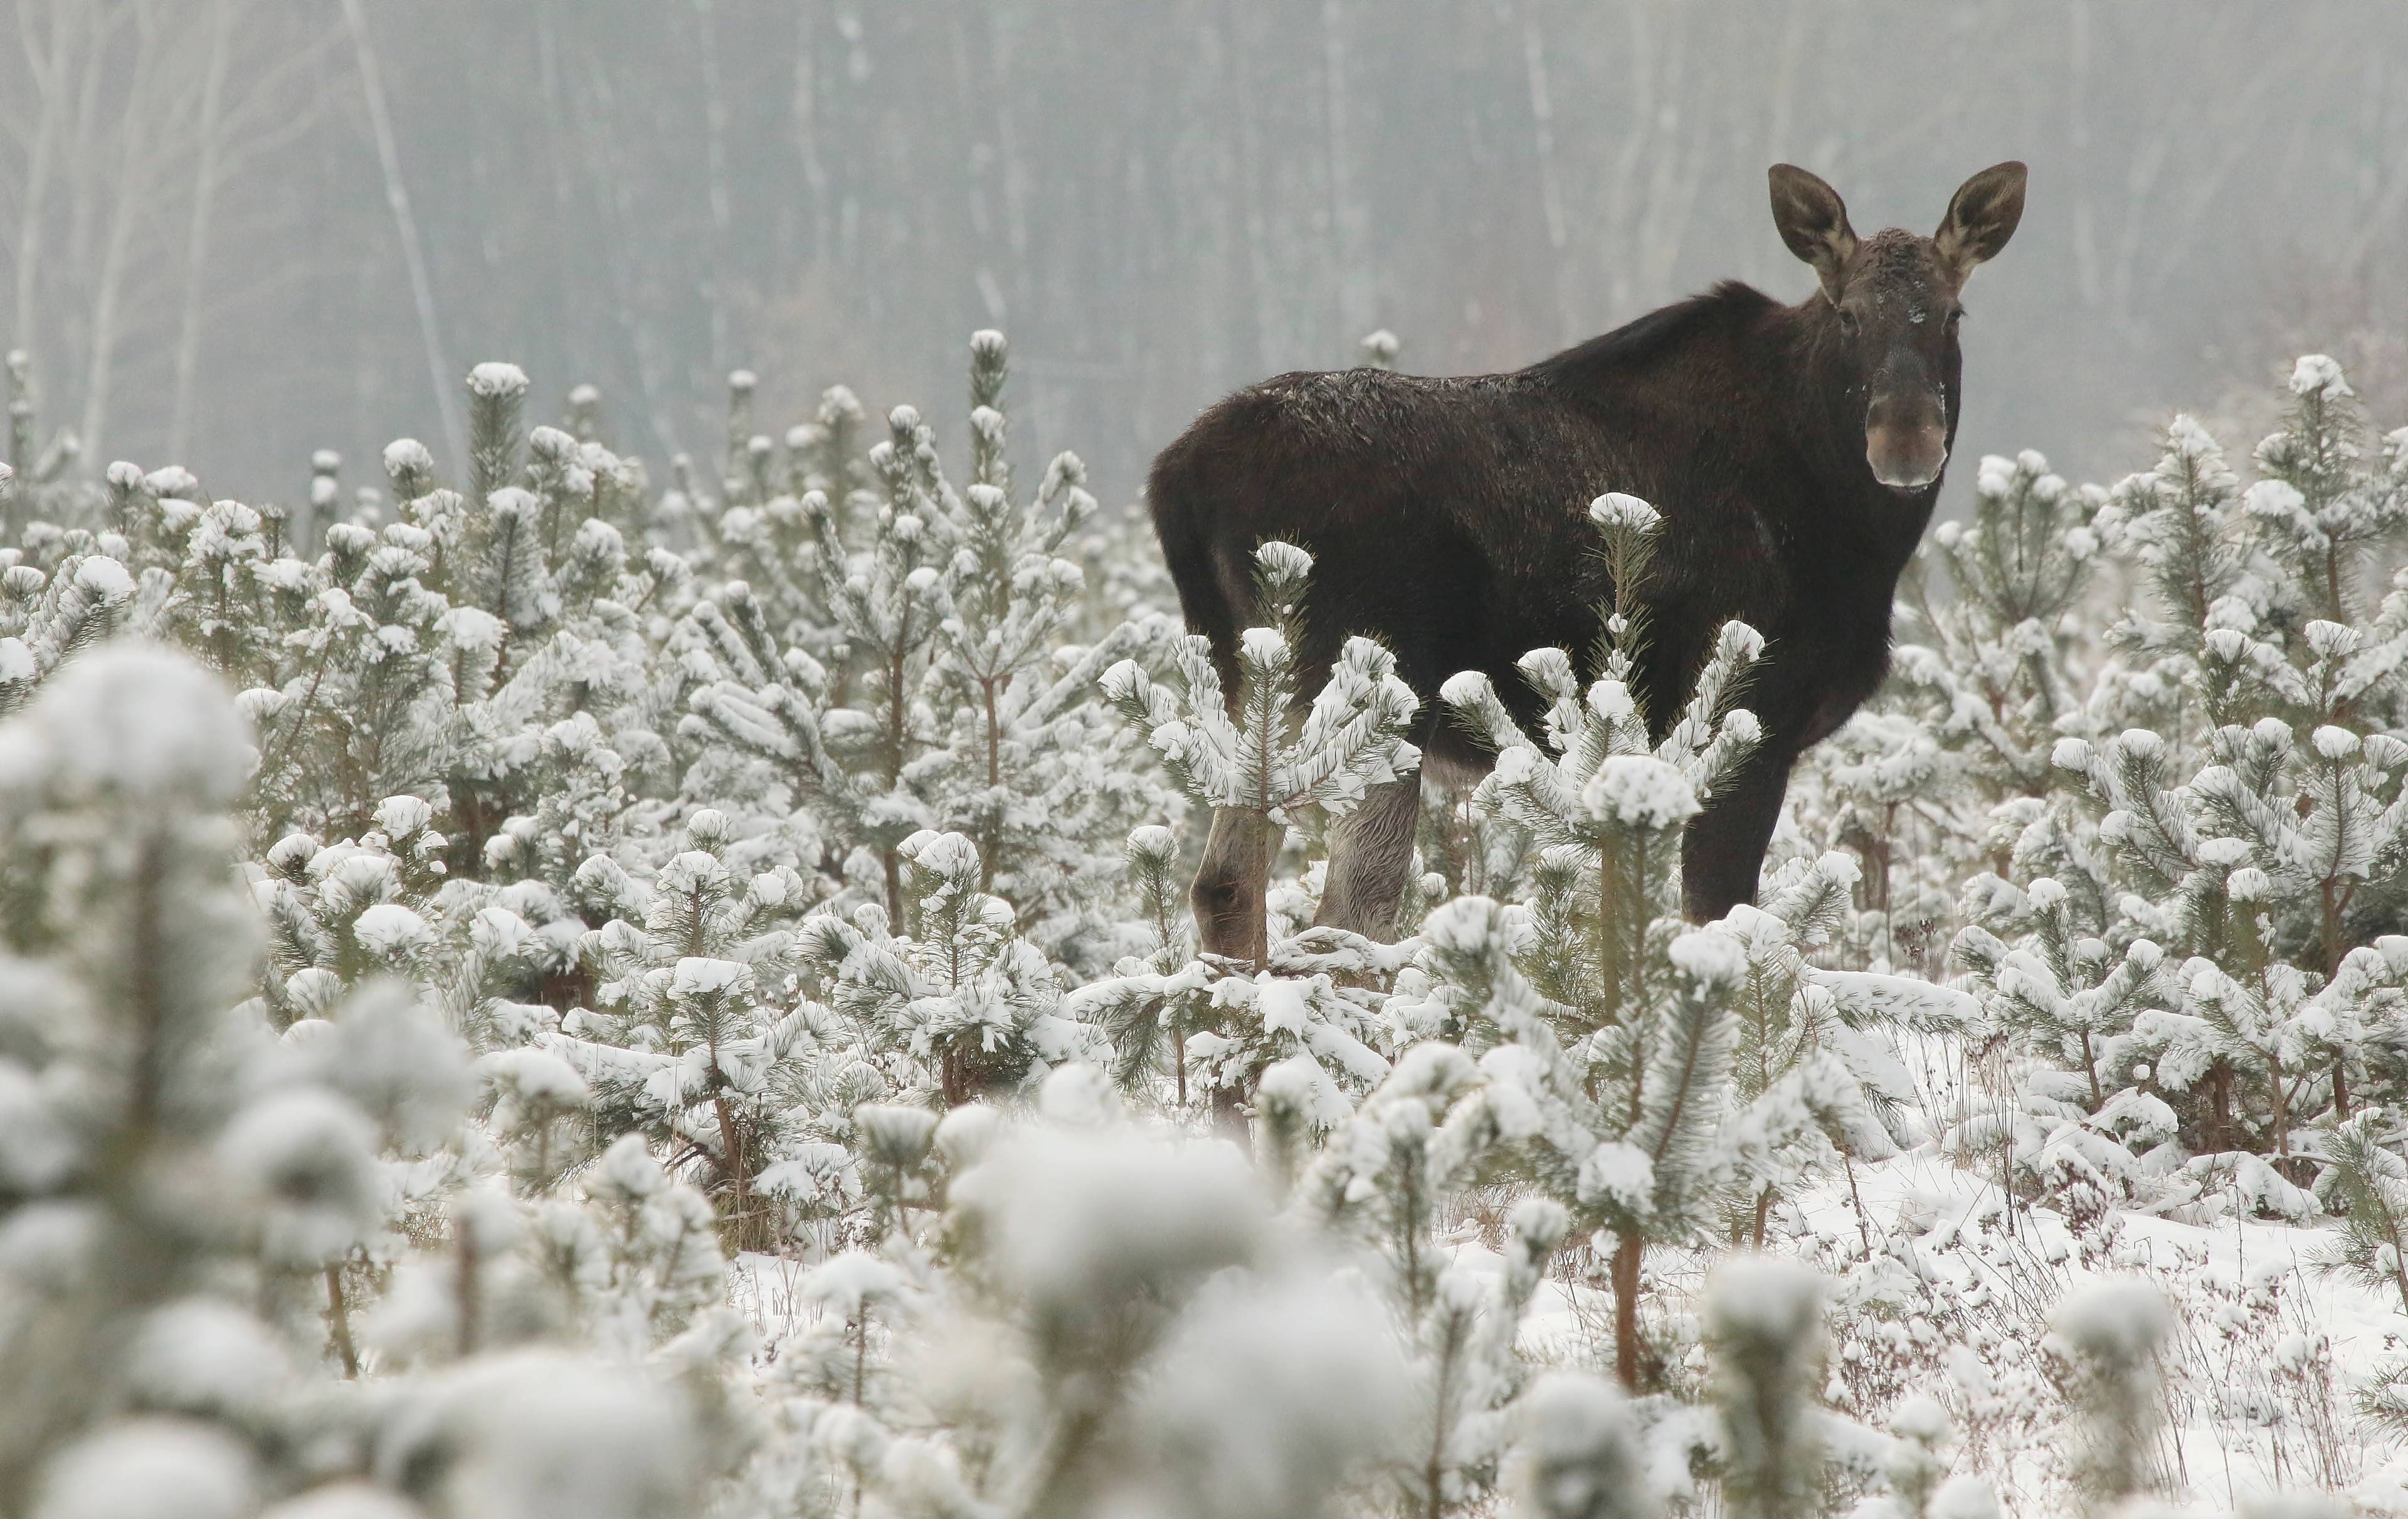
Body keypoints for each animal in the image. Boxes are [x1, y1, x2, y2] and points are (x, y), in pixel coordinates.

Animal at [1146, 160, 2032, 958]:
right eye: (1848, 315)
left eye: (1951, 315)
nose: (1907, 438)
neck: (1851, 532)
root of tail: (1176, 478)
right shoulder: (1755, 725)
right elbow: (1725, 928)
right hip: (1374, 686)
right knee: (1352, 911)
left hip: (1253, 683)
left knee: (1225, 885)